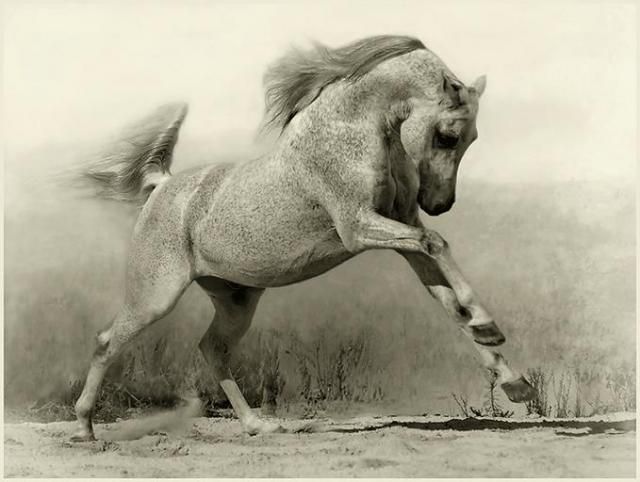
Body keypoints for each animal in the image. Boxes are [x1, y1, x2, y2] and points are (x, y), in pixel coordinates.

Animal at [70, 35, 536, 441]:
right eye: (447, 135)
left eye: (471, 138)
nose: (440, 203)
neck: (353, 130)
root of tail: (161, 185)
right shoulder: (359, 228)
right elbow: (437, 243)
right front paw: (488, 326)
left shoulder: (402, 229)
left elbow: (448, 301)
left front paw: (513, 379)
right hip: (155, 297)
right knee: (107, 343)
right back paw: (85, 428)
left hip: (236, 300)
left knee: (212, 349)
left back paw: (258, 426)